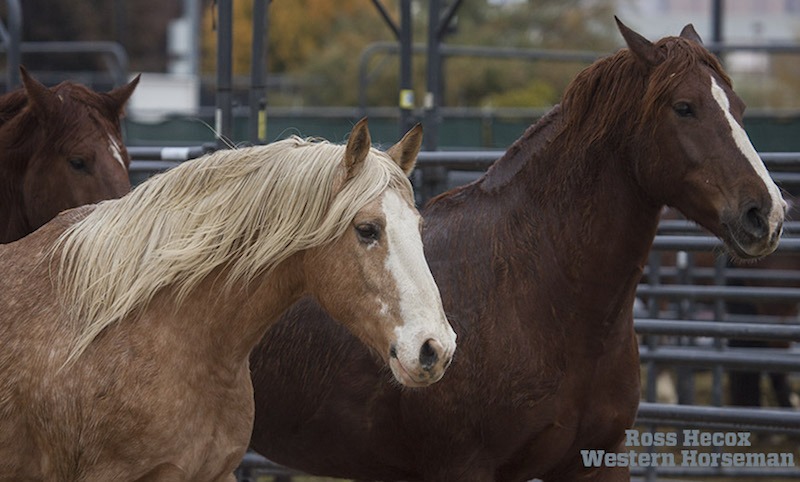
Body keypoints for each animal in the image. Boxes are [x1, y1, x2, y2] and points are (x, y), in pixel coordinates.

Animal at [247, 19, 786, 482]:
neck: (536, 289)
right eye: (684, 107)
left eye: (739, 108)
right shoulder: (462, 468)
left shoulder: (597, 460)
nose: (767, 212)